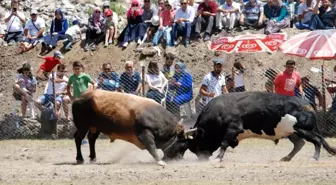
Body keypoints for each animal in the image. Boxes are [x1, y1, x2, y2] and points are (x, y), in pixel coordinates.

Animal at [184, 92, 336, 161]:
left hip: (303, 130)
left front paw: (218, 158)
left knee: (317, 140)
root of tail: (307, 104)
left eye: (196, 143)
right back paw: (286, 158)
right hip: (292, 132)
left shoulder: (233, 128)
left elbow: (224, 143)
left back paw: (314, 157)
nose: (202, 158)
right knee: (299, 144)